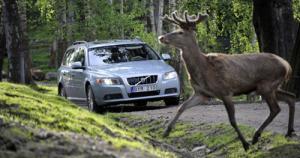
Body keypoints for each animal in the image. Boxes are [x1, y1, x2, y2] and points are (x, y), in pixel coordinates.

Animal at [158, 11, 296, 151]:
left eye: (180, 32)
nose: (161, 37)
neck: (203, 69)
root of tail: (287, 65)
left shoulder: (225, 91)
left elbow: (232, 120)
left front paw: (245, 144)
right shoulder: (201, 93)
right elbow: (181, 107)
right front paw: (166, 132)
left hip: (267, 85)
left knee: (276, 109)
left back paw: (256, 136)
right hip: (271, 87)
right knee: (291, 97)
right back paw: (289, 131)